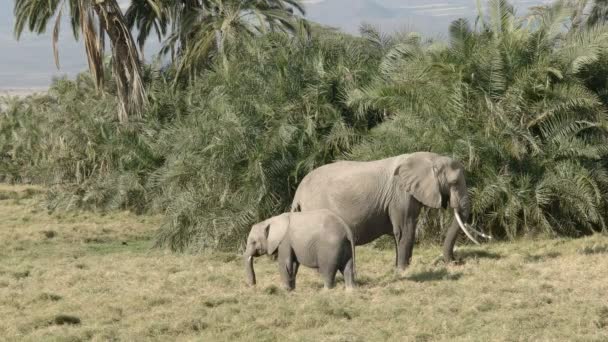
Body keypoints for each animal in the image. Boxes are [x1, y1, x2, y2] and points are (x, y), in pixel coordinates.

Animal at [290, 151, 490, 272]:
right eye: (454, 183)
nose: (458, 261)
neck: (428, 158)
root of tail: (298, 192)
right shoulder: (400, 196)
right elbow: (405, 231)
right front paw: (403, 271)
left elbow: (404, 231)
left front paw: (401, 269)